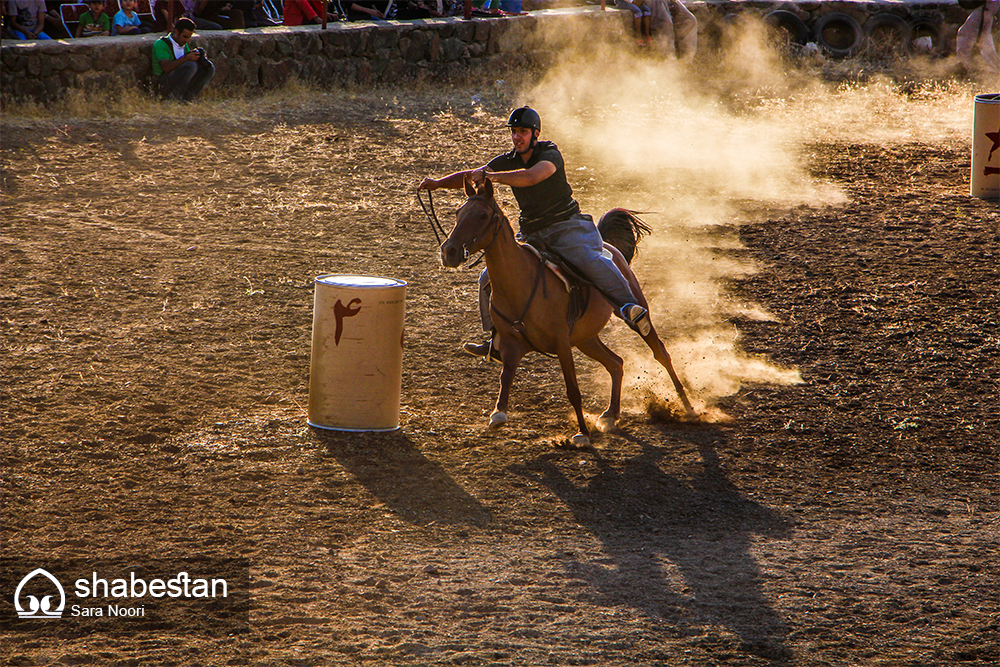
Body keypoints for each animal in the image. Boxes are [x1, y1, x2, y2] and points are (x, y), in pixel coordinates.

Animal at [442, 180, 692, 446]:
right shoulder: (511, 343)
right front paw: (498, 414)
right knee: (616, 363)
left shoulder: (561, 342)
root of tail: (607, 246)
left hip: (632, 308)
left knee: (659, 351)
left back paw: (688, 407)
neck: (521, 281)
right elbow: (506, 377)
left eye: (482, 215)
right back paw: (610, 415)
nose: (449, 251)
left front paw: (582, 434)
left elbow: (573, 389)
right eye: (458, 213)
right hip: (585, 338)